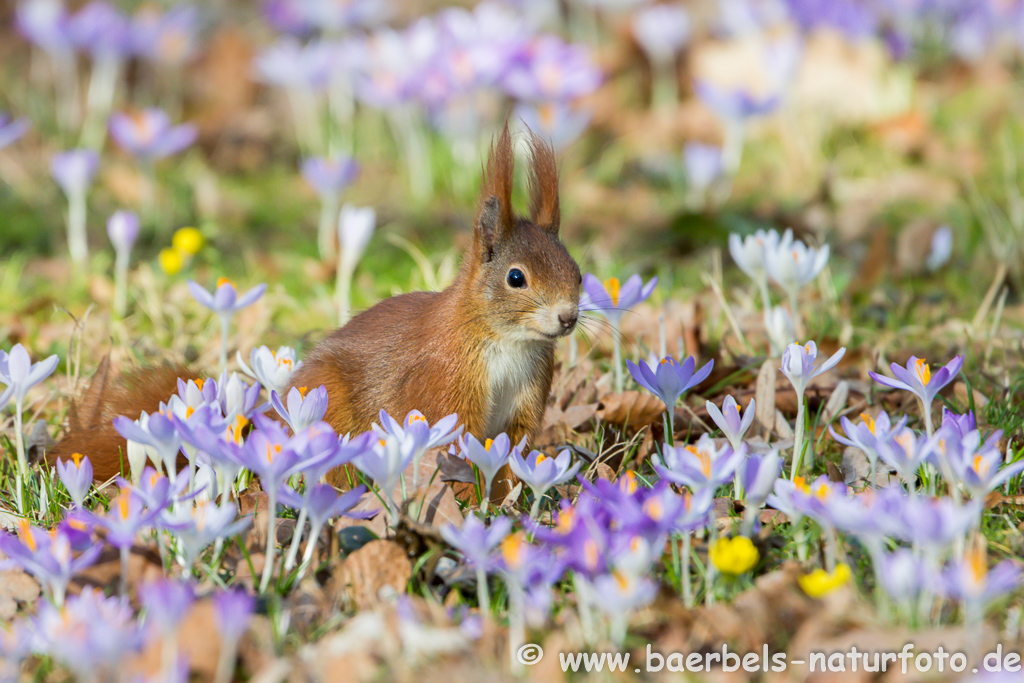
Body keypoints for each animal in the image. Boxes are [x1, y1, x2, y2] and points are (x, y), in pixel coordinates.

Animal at [51, 125, 581, 483]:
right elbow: (456, 451)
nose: (568, 317)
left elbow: (512, 453)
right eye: (516, 278)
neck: (505, 342)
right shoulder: (444, 383)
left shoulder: (526, 399)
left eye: (577, 272)